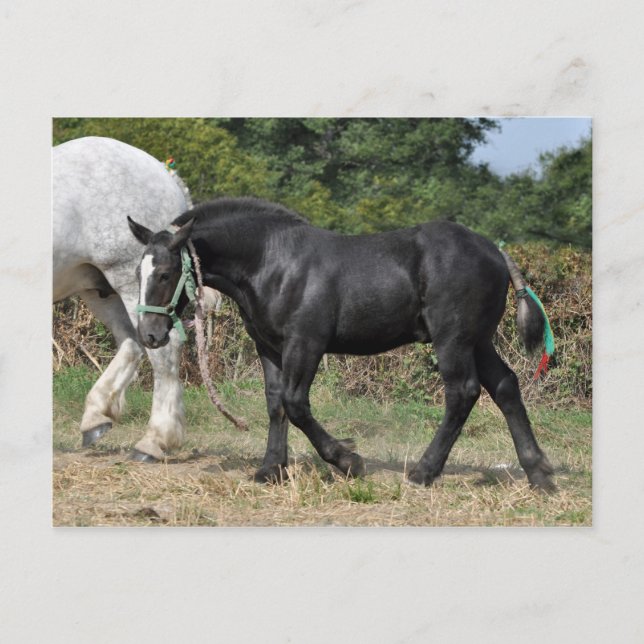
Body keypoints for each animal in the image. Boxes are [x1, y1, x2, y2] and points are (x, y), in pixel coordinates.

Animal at [53, 136, 195, 461]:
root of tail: (163, 172)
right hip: (100, 289)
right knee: (132, 342)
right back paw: (95, 417)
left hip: (129, 283)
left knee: (162, 350)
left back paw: (154, 441)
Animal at [128, 197, 556, 491]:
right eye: (138, 272)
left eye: (165, 273)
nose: (149, 334)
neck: (274, 262)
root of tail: (495, 250)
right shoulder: (269, 346)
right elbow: (275, 404)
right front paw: (271, 469)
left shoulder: (305, 343)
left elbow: (295, 404)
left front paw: (348, 461)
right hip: (478, 340)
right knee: (505, 387)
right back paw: (539, 473)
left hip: (453, 339)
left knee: (463, 392)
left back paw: (422, 472)